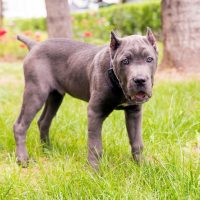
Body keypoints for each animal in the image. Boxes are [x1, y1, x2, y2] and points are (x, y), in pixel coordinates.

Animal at [13, 28, 158, 168]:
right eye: (125, 61)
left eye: (149, 59)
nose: (140, 80)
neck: (114, 77)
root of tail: (35, 45)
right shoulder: (95, 111)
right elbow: (95, 146)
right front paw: (94, 170)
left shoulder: (134, 112)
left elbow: (137, 142)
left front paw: (142, 166)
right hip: (36, 92)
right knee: (20, 125)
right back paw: (23, 159)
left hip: (55, 96)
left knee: (43, 122)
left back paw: (48, 150)